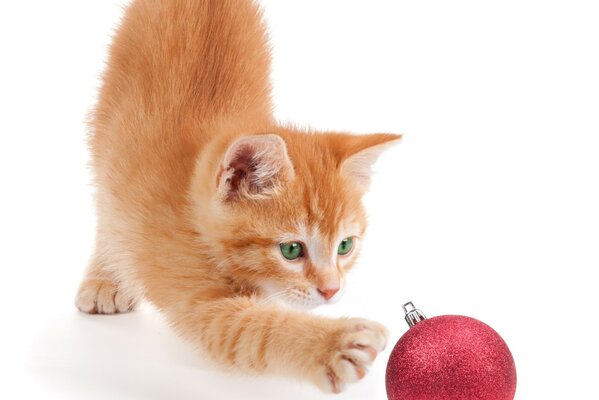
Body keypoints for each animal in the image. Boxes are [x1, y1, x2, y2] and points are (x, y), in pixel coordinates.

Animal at [76, 0, 404, 394]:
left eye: (345, 246)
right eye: (291, 250)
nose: (331, 290)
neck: (190, 205)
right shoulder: (193, 292)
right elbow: (252, 331)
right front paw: (331, 343)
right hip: (106, 127)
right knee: (105, 200)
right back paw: (105, 277)